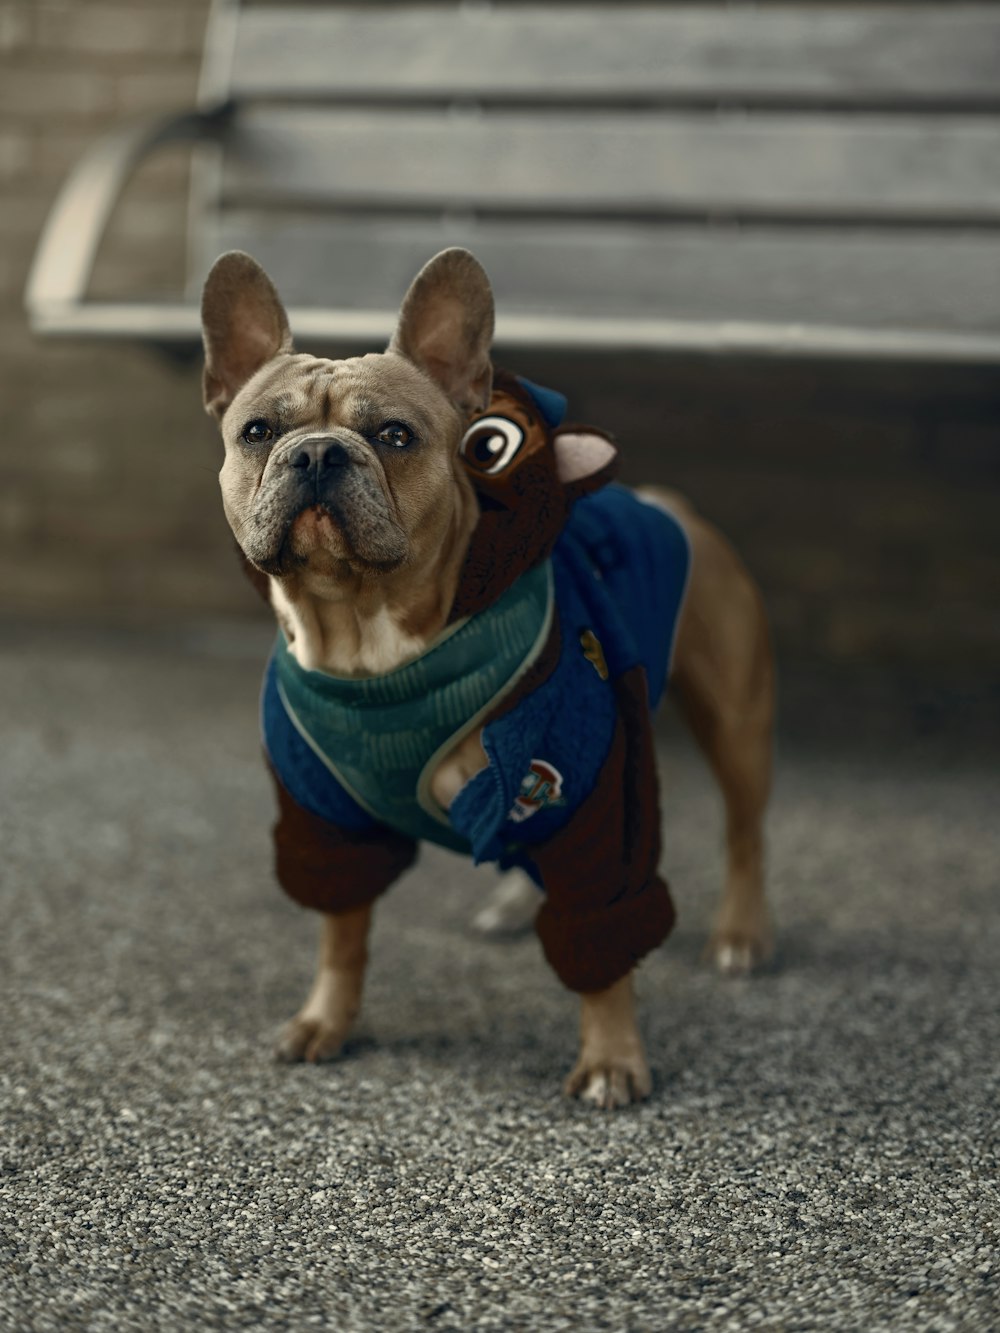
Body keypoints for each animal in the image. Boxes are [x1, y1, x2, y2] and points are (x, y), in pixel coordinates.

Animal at [197, 245, 773, 1109]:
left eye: (395, 435)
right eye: (258, 431)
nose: (319, 452)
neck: (367, 638)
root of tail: (668, 503)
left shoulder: (592, 796)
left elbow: (604, 944)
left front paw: (612, 1057)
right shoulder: (329, 818)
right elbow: (343, 931)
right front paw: (325, 1019)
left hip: (733, 722)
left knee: (745, 832)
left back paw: (741, 934)